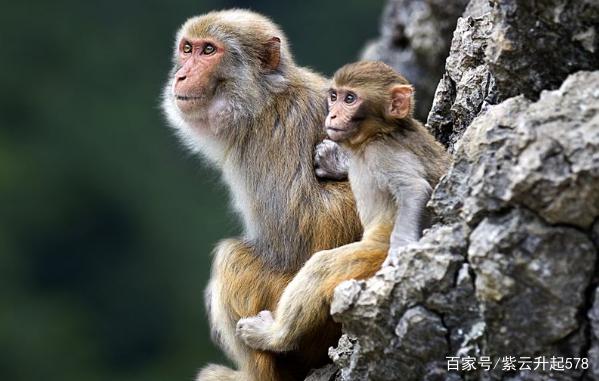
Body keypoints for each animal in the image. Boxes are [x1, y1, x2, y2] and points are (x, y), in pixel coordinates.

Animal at [162, 8, 364, 380]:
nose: (181, 75)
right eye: (187, 48)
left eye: (209, 51)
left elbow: (311, 230)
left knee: (231, 258)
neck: (262, 101)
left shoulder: (268, 145)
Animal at [237, 60, 452, 354]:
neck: (378, 134)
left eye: (350, 99)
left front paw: (401, 252)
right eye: (334, 96)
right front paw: (333, 161)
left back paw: (274, 336)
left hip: (370, 258)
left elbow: (414, 190)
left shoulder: (383, 153)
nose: (332, 116)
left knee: (322, 266)